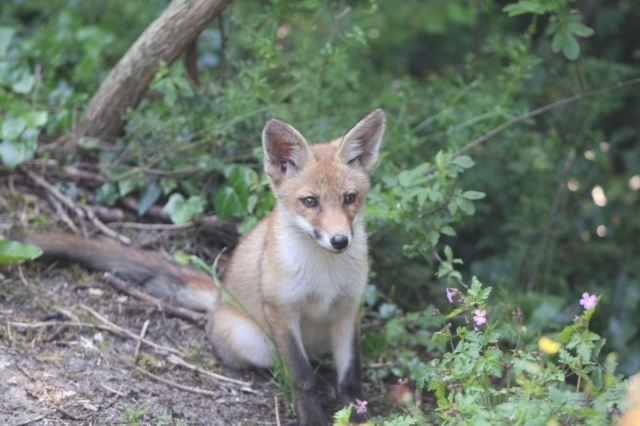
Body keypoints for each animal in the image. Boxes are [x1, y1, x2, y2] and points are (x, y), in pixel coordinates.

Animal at [23, 108, 384, 424]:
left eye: (350, 198)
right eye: (310, 202)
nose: (339, 240)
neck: (324, 276)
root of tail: (220, 295)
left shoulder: (348, 308)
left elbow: (351, 377)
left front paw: (360, 416)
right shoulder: (282, 309)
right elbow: (301, 378)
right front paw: (314, 417)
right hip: (254, 340)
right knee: (277, 365)